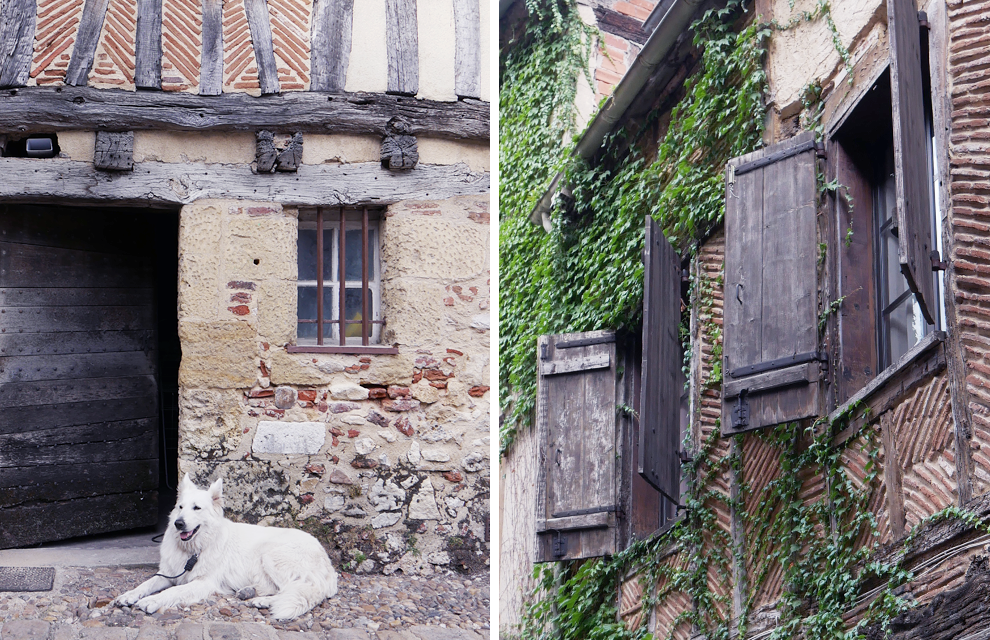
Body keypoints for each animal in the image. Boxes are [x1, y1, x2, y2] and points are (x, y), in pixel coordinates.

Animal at [116, 476, 338, 620]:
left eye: (196, 508)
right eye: (180, 507)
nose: (178, 523)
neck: (194, 549)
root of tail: (327, 563)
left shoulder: (203, 583)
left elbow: (174, 591)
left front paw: (152, 601)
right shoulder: (167, 573)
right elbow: (145, 585)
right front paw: (128, 595)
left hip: (271, 556)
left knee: (298, 589)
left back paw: (263, 602)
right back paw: (251, 593)